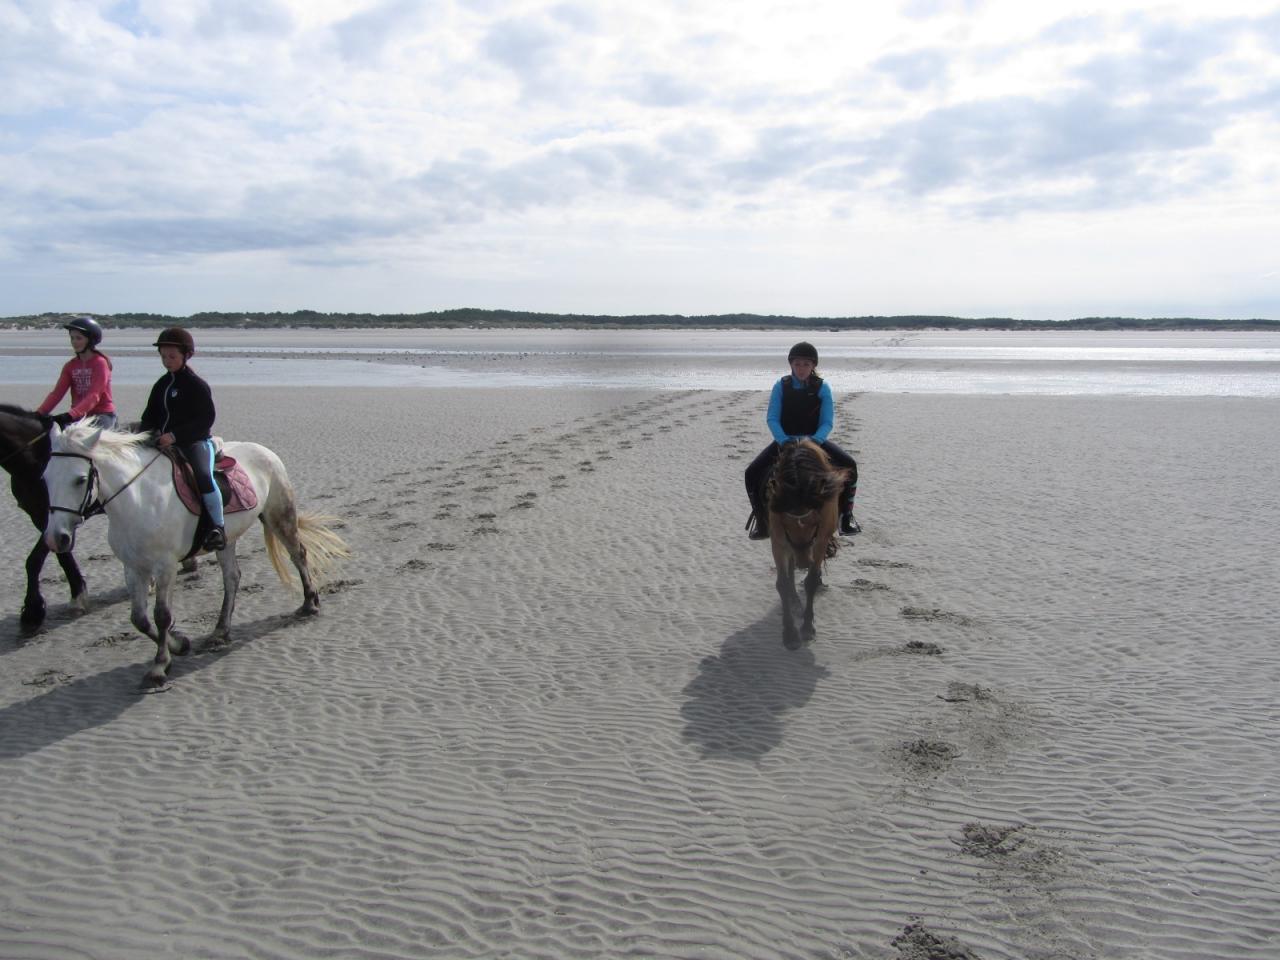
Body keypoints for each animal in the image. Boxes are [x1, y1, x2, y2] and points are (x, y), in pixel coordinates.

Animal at [42, 424, 348, 686]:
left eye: (80, 479)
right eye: (45, 477)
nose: (56, 538)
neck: (138, 500)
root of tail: (264, 451)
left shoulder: (165, 566)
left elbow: (161, 615)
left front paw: (159, 666)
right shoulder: (133, 568)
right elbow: (139, 619)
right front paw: (179, 644)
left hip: (278, 515)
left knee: (298, 555)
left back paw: (309, 603)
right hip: (228, 539)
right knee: (232, 577)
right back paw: (220, 631)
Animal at [762, 440, 855, 650]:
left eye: (815, 523)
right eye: (785, 524)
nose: (803, 562)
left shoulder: (819, 540)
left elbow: (810, 581)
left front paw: (806, 628)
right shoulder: (779, 541)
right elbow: (781, 583)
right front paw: (789, 634)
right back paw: (795, 601)